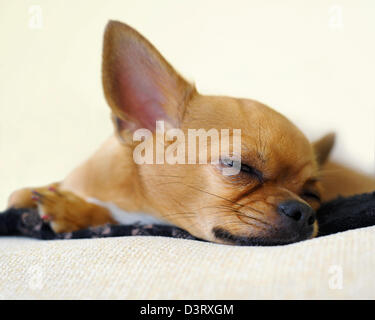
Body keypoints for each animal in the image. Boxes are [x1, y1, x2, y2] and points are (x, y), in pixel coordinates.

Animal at [6, 20, 375, 245]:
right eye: (239, 167)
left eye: (313, 195)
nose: (304, 211)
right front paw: (37, 193)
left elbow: (103, 212)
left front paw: (71, 209)